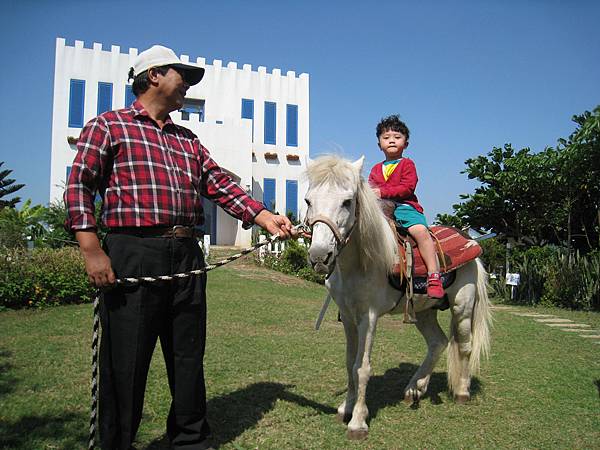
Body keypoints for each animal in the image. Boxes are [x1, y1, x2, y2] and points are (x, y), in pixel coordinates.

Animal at [304, 155, 492, 440]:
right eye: (308, 201)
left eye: (347, 202)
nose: (319, 256)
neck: (359, 263)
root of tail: (471, 243)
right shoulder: (348, 317)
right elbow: (349, 363)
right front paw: (346, 407)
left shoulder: (368, 318)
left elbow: (362, 367)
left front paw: (358, 421)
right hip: (424, 311)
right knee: (438, 342)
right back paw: (416, 388)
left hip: (463, 306)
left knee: (465, 345)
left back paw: (461, 391)